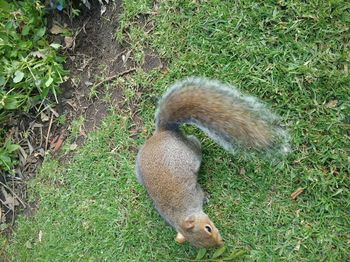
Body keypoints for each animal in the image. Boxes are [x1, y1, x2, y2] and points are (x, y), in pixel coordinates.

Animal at [135, 76, 288, 248]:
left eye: (208, 228)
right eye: (201, 244)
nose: (220, 242)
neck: (182, 213)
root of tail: (162, 133)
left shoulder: (194, 193)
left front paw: (206, 197)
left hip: (192, 150)